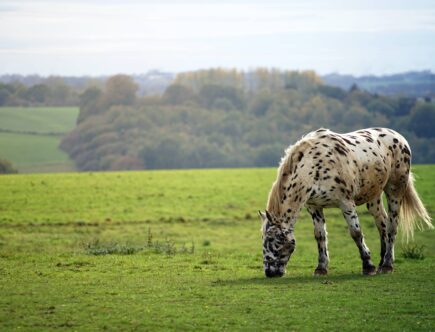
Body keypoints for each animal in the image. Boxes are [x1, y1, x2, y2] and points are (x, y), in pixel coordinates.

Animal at [258, 127, 432, 278]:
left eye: (274, 239)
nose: (269, 272)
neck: (314, 167)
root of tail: (399, 138)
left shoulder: (346, 203)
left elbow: (356, 233)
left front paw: (368, 266)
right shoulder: (314, 207)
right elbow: (320, 236)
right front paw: (321, 268)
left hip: (395, 189)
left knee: (392, 226)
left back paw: (388, 265)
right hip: (373, 196)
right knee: (382, 223)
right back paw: (382, 262)